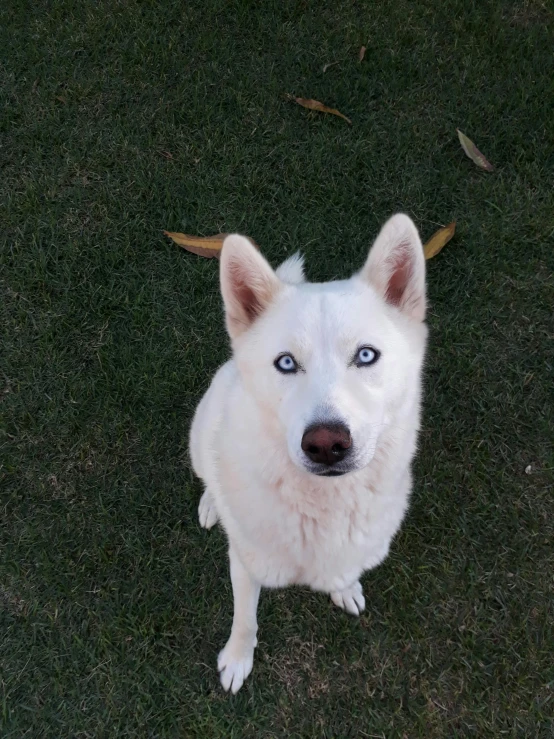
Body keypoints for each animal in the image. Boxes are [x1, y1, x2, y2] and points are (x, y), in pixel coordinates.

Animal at [190, 214, 426, 692]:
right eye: (286, 363)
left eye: (366, 355)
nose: (326, 444)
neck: (323, 508)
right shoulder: (244, 564)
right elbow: (245, 618)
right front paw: (237, 658)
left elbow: (346, 571)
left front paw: (345, 588)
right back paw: (211, 503)